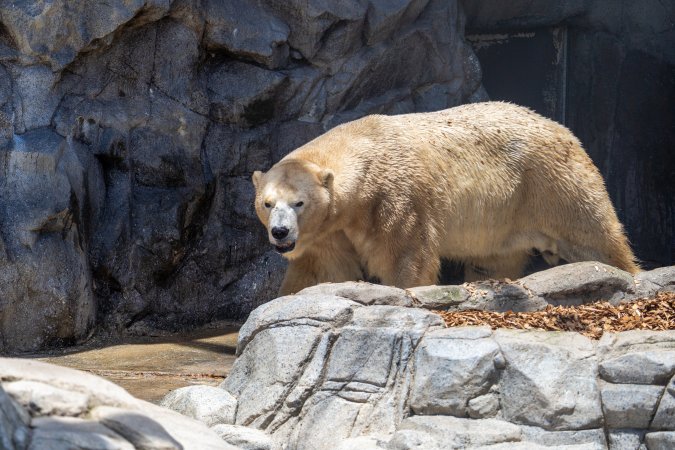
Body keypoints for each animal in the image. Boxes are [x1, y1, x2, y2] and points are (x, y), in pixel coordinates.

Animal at [252, 101, 640, 296]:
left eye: (299, 202)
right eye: (267, 204)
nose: (280, 233)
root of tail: (564, 130)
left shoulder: (395, 200)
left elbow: (407, 257)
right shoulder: (329, 231)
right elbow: (321, 270)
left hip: (550, 184)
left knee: (594, 236)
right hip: (504, 220)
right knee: (493, 260)